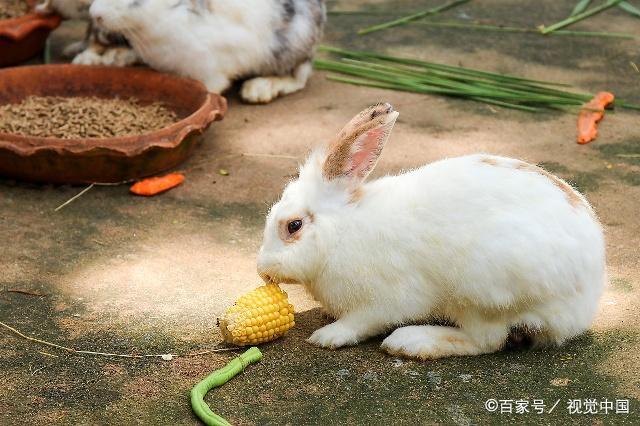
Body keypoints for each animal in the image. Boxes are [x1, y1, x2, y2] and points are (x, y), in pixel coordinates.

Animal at [89, 0, 324, 103]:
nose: (95, 14)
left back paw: (258, 89)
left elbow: (210, 88)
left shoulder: (208, 68)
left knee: (299, 77)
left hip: (292, 45)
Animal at [256, 104, 604, 360]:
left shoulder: (385, 300)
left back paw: (411, 341)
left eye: (293, 225)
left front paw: (327, 336)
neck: (341, 232)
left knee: (486, 340)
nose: (262, 269)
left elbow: (362, 321)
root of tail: (586, 299)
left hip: (481, 290)